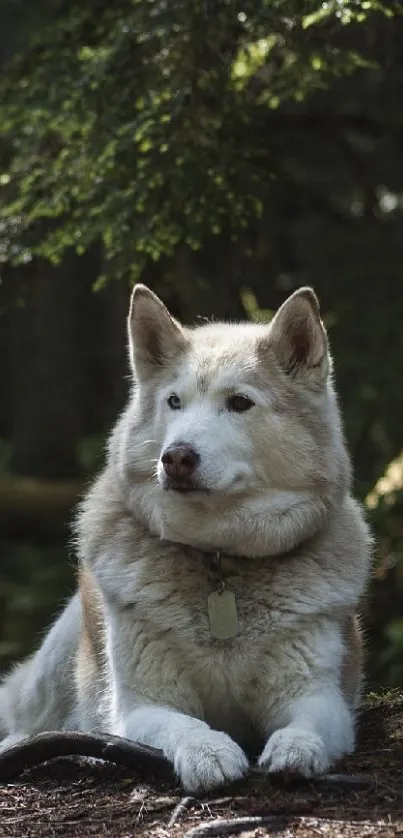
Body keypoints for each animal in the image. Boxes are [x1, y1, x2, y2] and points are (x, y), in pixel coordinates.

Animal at [0, 286, 372, 792]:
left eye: (240, 403)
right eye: (174, 402)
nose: (175, 457)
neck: (219, 558)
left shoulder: (319, 696)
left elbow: (306, 727)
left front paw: (296, 750)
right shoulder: (142, 706)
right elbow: (185, 725)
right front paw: (208, 753)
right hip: (59, 660)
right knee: (30, 720)